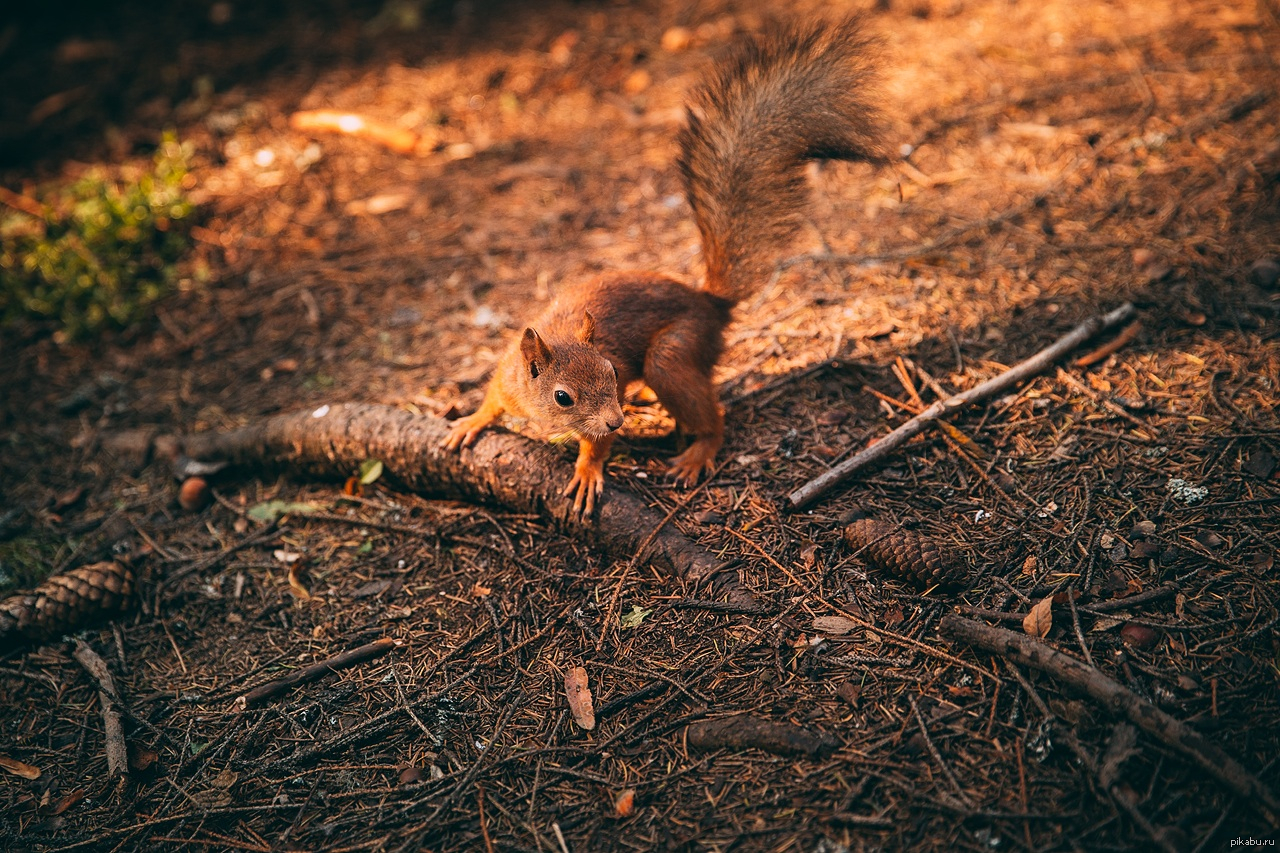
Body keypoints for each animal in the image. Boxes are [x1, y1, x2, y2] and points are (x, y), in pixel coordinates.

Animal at [445, 18, 885, 512]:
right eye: (563, 397)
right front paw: (470, 421)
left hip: (673, 355)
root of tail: (709, 303)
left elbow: (595, 445)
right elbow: (492, 399)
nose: (616, 421)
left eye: (613, 372)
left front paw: (587, 470)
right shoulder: (507, 378)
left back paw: (696, 451)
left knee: (714, 416)